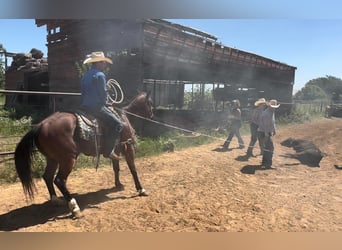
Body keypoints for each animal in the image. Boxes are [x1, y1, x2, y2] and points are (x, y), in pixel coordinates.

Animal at [13, 92, 152, 217]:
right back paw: (74, 208)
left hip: (52, 159)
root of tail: (40, 126)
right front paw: (141, 189)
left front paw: (118, 184)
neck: (125, 118)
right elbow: (133, 169)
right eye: (150, 103)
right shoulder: (128, 146)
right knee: (59, 180)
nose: (152, 115)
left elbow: (116, 167)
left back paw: (56, 200)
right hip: (68, 159)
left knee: (47, 176)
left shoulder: (116, 149)